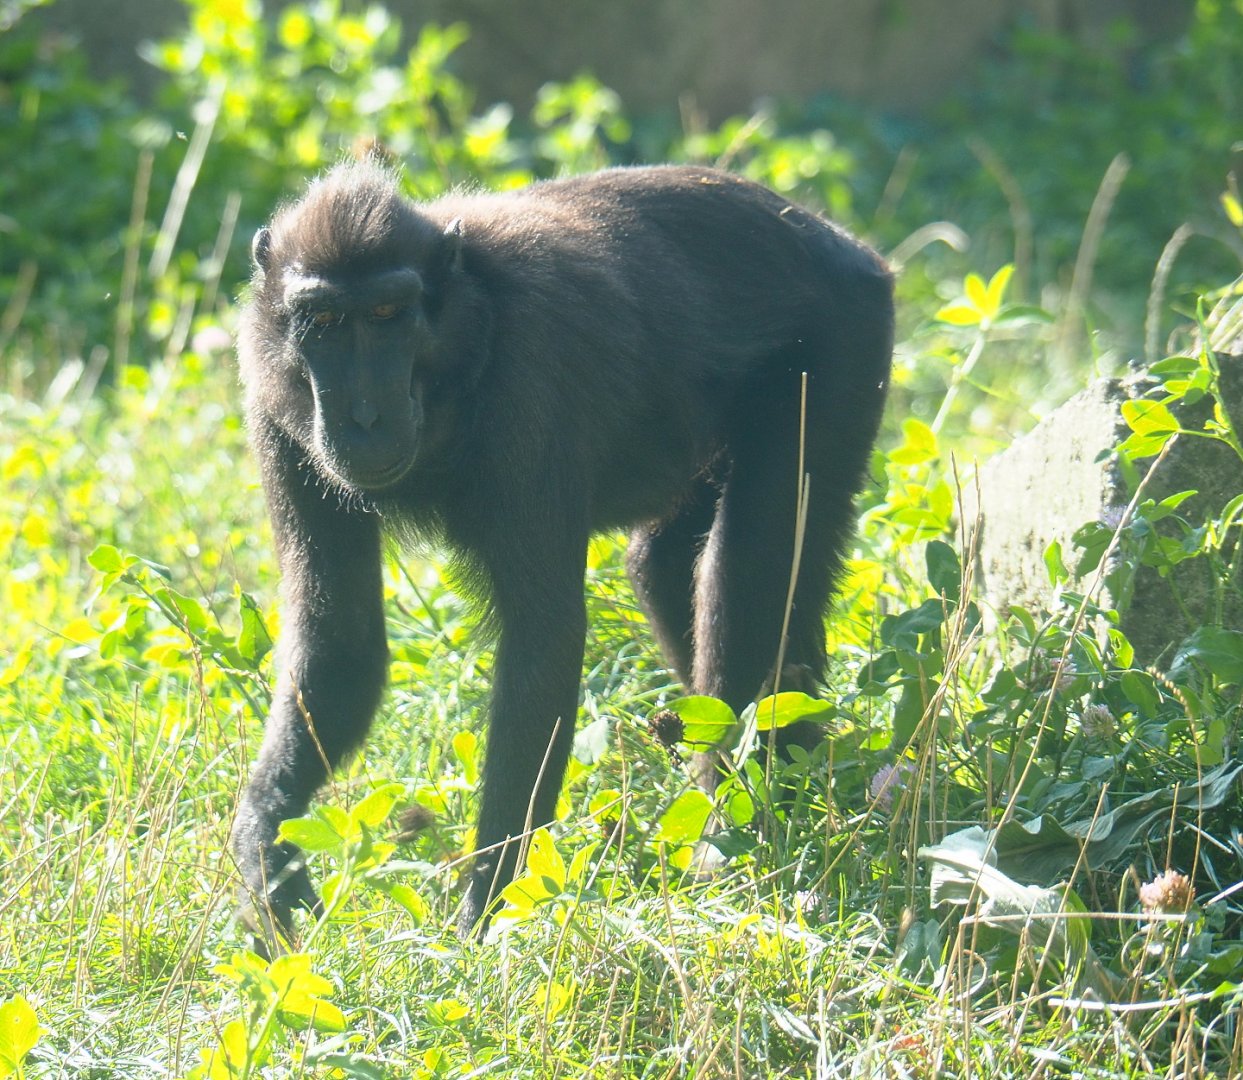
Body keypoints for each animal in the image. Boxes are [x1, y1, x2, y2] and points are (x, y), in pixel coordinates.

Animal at [233, 160, 893, 943]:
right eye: (327, 323)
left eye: (390, 315)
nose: (363, 416)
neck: (470, 329)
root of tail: (837, 242)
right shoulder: (273, 410)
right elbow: (341, 638)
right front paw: (266, 846)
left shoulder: (530, 382)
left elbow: (541, 642)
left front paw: (484, 914)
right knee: (663, 566)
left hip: (842, 347)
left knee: (749, 566)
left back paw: (746, 833)